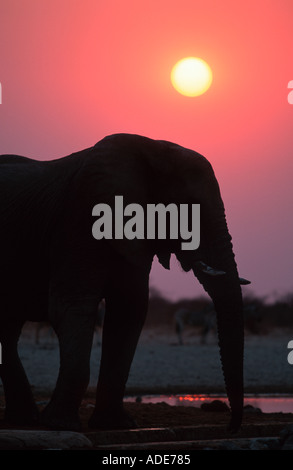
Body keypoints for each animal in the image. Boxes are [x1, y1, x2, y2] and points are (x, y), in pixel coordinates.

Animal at [0, 132, 249, 434]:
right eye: (190, 207)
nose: (231, 427)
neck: (152, 148)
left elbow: (129, 311)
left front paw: (114, 425)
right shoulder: (77, 222)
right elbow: (72, 308)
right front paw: (61, 426)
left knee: (7, 332)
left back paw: (24, 420)